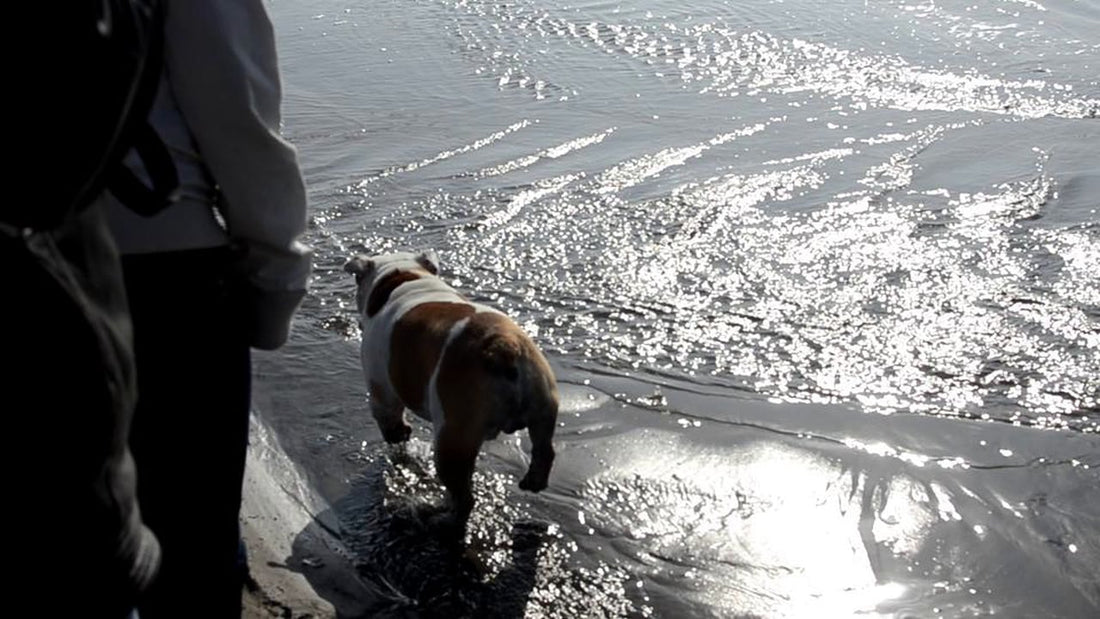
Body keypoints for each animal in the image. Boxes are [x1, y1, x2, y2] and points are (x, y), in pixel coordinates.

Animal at [345, 250, 558, 532]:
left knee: (464, 499)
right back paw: (533, 480)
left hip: (451, 440)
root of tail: (503, 347)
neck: (404, 274)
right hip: (543, 403)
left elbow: (391, 423)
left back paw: (444, 519)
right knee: (544, 449)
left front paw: (399, 437)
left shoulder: (383, 395)